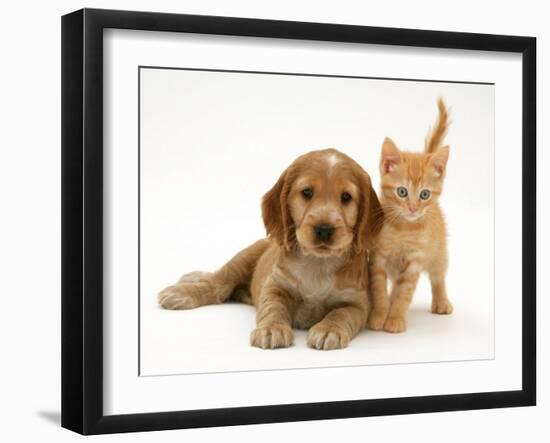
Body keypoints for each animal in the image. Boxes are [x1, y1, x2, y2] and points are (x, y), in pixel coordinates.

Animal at [158, 149, 384, 350]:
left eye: (346, 197)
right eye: (307, 192)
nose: (324, 229)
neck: (318, 262)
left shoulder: (356, 302)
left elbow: (341, 314)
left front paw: (329, 330)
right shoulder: (275, 285)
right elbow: (273, 307)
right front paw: (271, 329)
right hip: (244, 257)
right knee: (218, 284)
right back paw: (183, 291)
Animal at [368, 98, 454, 332]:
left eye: (424, 194)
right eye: (402, 192)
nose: (413, 208)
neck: (403, 227)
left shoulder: (414, 260)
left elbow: (404, 293)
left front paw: (395, 318)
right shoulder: (378, 257)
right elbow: (379, 289)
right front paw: (379, 315)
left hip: (438, 251)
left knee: (438, 275)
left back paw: (441, 301)